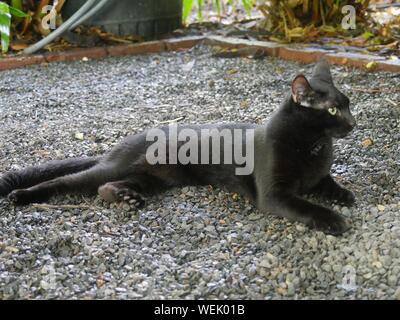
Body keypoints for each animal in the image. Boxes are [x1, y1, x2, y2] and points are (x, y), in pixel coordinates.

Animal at [0, 59, 356, 235]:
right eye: (333, 111)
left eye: (349, 105)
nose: (354, 123)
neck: (313, 145)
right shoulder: (275, 194)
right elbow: (305, 206)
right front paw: (332, 219)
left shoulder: (318, 175)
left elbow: (329, 183)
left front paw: (344, 196)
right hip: (116, 168)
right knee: (67, 181)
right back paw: (22, 196)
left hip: (154, 179)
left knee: (105, 187)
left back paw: (126, 198)